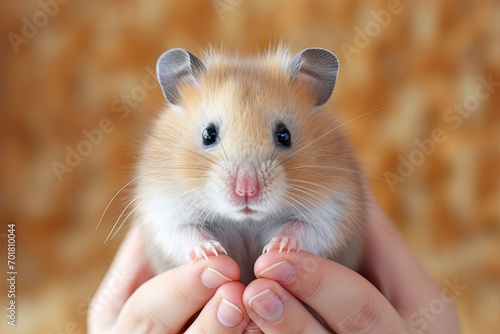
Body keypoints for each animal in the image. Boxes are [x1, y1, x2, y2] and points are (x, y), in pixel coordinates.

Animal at [135, 45, 366, 284]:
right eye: (208, 134)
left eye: (285, 135)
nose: (246, 190)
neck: (245, 220)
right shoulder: (163, 210)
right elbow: (184, 231)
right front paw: (210, 252)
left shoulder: (334, 213)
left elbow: (304, 228)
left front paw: (279, 247)